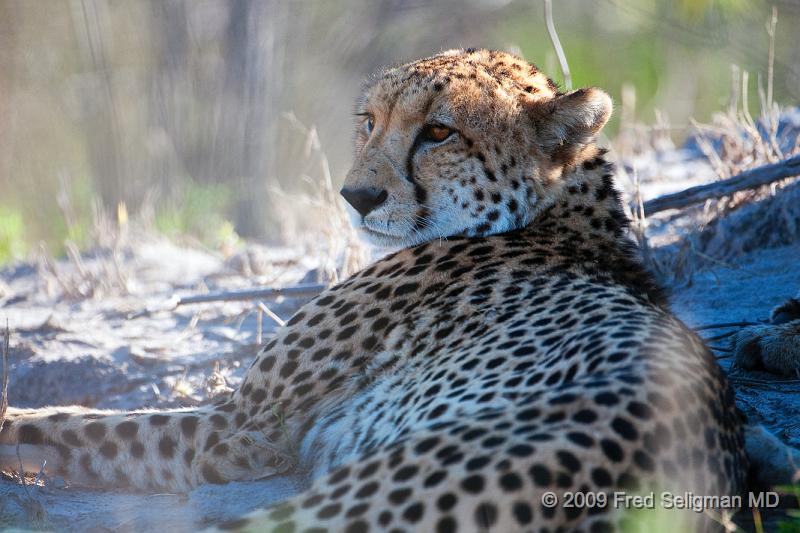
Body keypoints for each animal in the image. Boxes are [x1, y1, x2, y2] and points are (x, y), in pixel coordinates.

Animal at [1, 47, 752, 528]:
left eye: (439, 131)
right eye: (369, 122)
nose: (356, 196)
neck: (553, 214)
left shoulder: (238, 424)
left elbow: (73, 420)